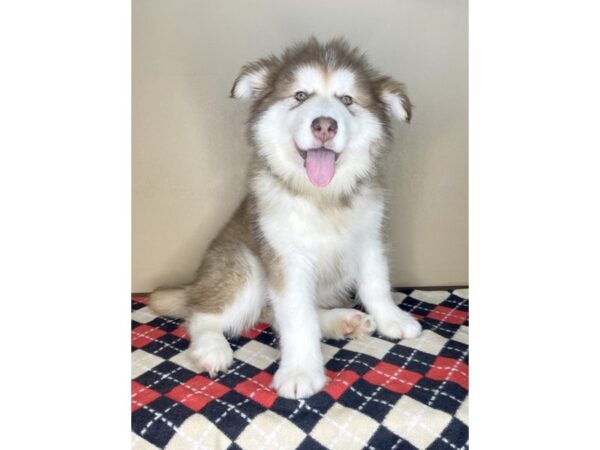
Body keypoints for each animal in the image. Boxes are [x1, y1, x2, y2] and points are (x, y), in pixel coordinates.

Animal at [150, 37, 422, 398]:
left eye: (347, 100)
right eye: (300, 96)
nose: (324, 125)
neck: (321, 196)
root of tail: (196, 285)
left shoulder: (370, 237)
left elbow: (376, 284)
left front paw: (392, 319)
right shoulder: (286, 257)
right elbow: (297, 317)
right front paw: (301, 371)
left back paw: (342, 320)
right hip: (245, 266)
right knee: (202, 315)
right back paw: (212, 349)